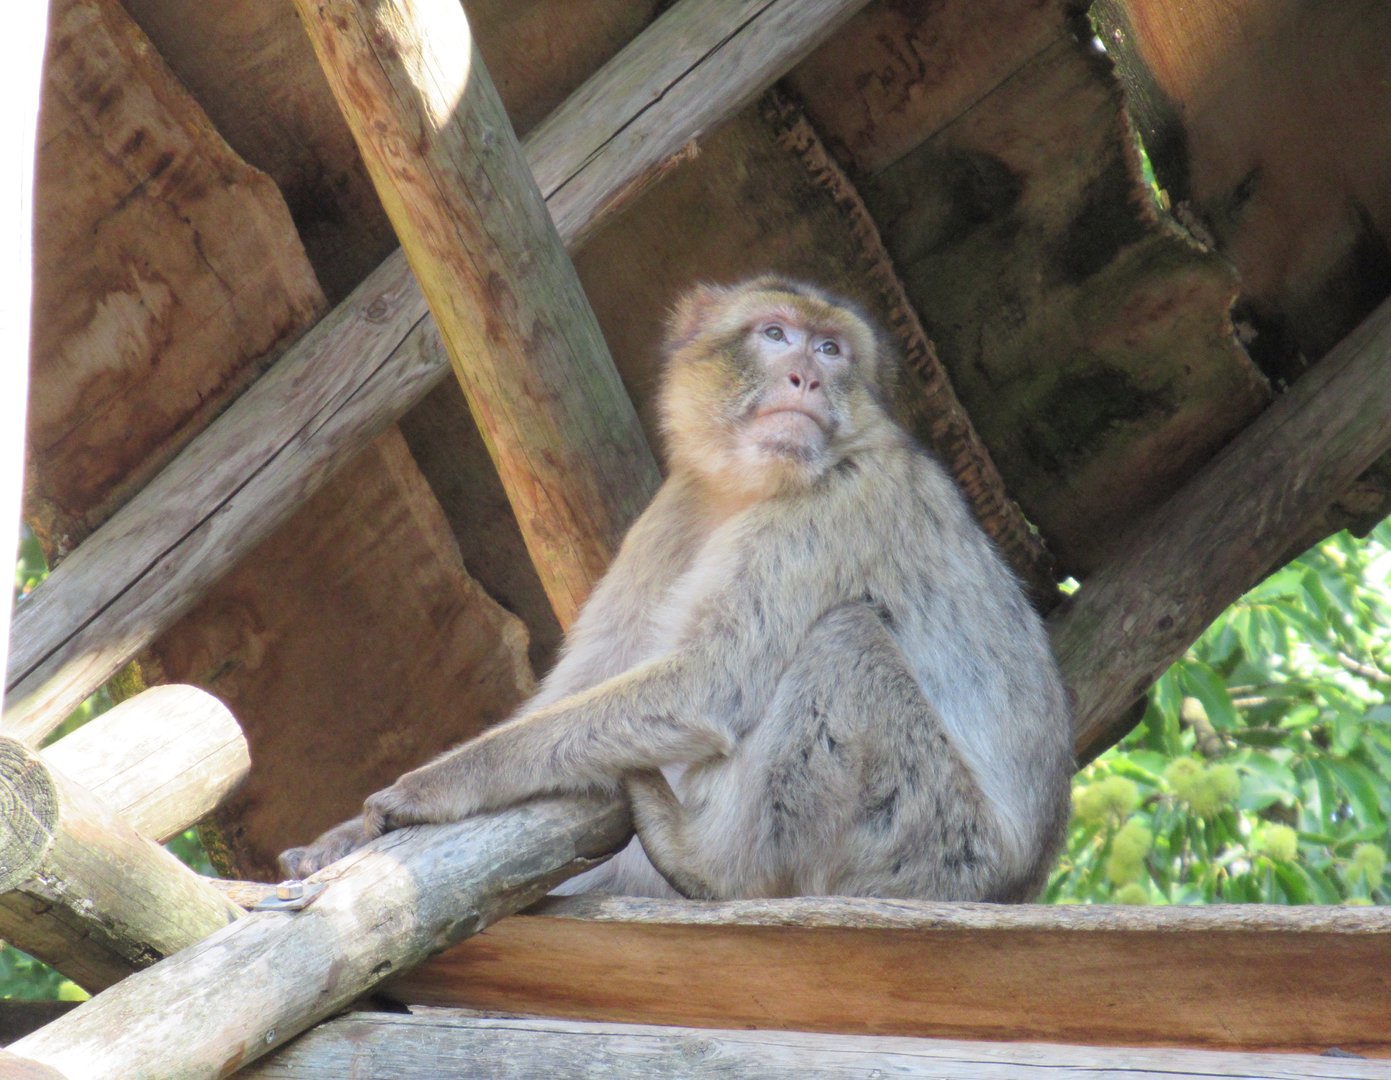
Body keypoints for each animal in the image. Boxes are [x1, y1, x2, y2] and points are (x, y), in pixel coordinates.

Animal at [279, 276, 1074, 902]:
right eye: (775, 334)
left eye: (830, 350)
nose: (807, 379)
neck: (747, 486)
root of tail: (1017, 887)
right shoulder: (676, 505)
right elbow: (590, 676)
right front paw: (343, 835)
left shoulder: (839, 500)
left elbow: (706, 684)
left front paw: (433, 787)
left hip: (938, 848)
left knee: (846, 642)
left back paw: (710, 866)